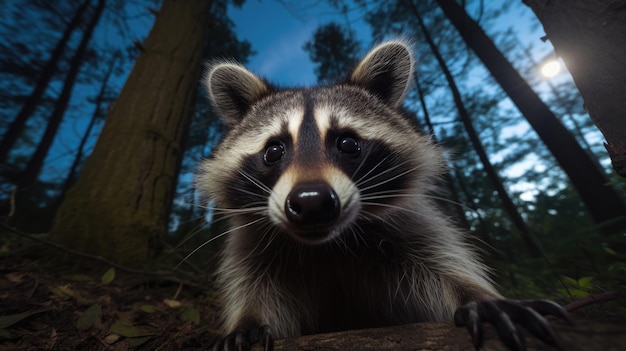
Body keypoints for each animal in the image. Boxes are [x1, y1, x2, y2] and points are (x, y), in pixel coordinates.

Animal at [197, 40, 568, 350]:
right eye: (274, 151)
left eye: (348, 143)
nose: (311, 201)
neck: (328, 245)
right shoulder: (252, 243)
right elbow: (253, 285)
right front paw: (248, 320)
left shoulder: (411, 224)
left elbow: (442, 266)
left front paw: (479, 296)